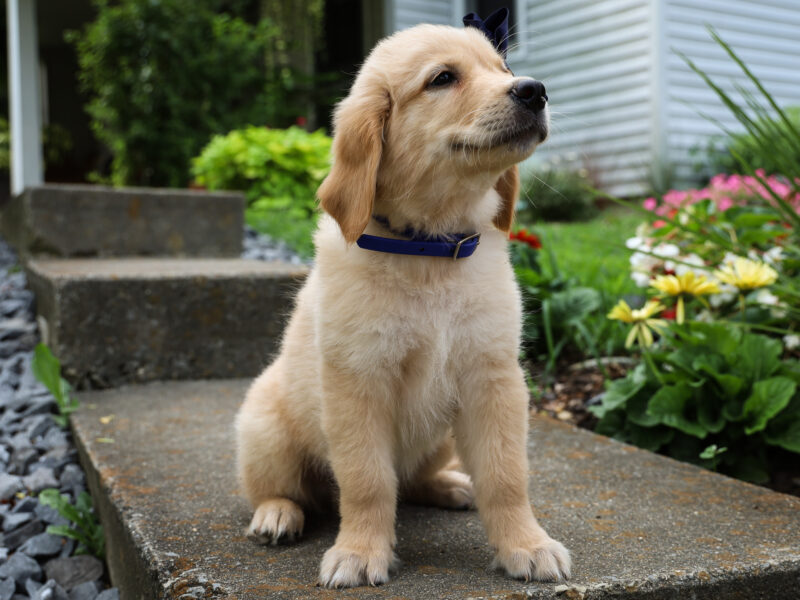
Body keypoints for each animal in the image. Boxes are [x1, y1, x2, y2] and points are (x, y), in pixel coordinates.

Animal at [234, 22, 572, 584]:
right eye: (443, 79)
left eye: (502, 70)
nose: (535, 90)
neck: (430, 249)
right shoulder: (358, 384)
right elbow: (368, 481)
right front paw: (359, 552)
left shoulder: (493, 377)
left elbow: (506, 475)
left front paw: (527, 544)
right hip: (264, 427)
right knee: (284, 488)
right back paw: (277, 514)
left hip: (442, 438)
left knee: (413, 480)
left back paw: (451, 485)